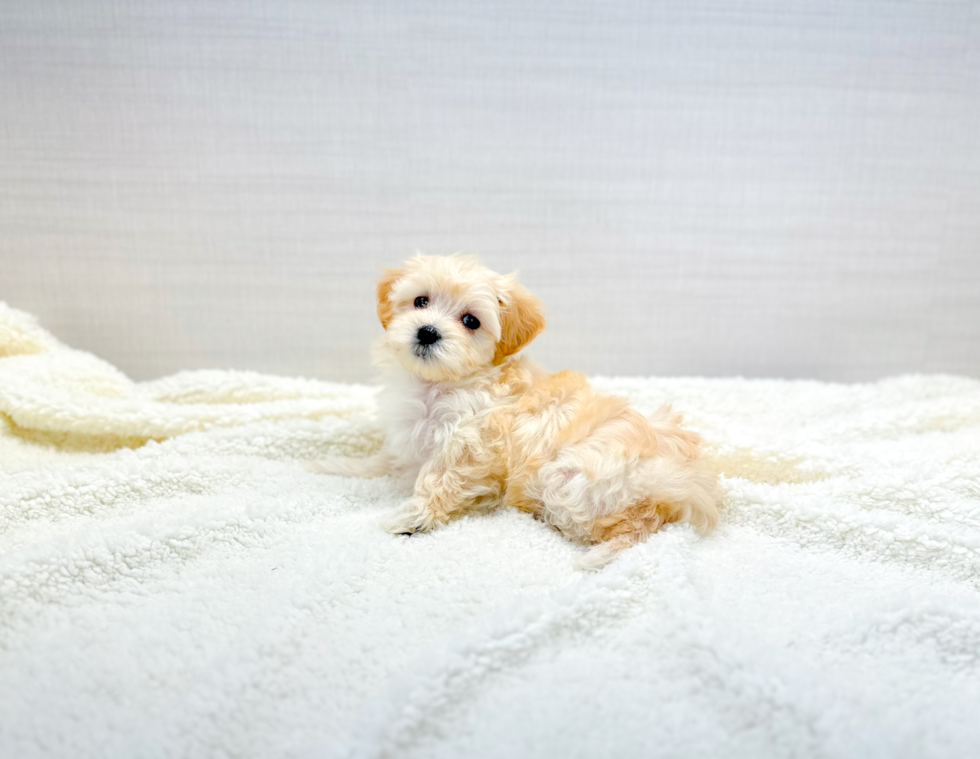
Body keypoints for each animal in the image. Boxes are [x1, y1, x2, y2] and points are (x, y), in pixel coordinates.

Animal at [314, 255, 720, 568]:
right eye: (420, 301)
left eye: (471, 321)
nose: (427, 332)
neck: (440, 385)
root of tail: (688, 484)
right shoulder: (411, 440)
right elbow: (382, 461)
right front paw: (336, 465)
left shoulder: (473, 444)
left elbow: (442, 481)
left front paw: (412, 516)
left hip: (574, 477)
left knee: (641, 525)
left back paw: (598, 552)